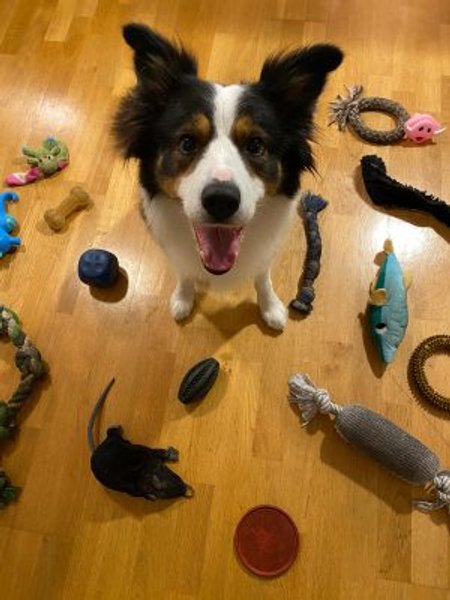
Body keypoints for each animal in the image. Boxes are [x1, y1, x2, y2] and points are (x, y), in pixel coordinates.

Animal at [113, 24, 343, 330]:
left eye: (256, 145)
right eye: (187, 142)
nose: (221, 200)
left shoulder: (264, 251)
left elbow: (262, 276)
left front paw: (270, 306)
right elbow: (184, 271)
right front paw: (183, 298)